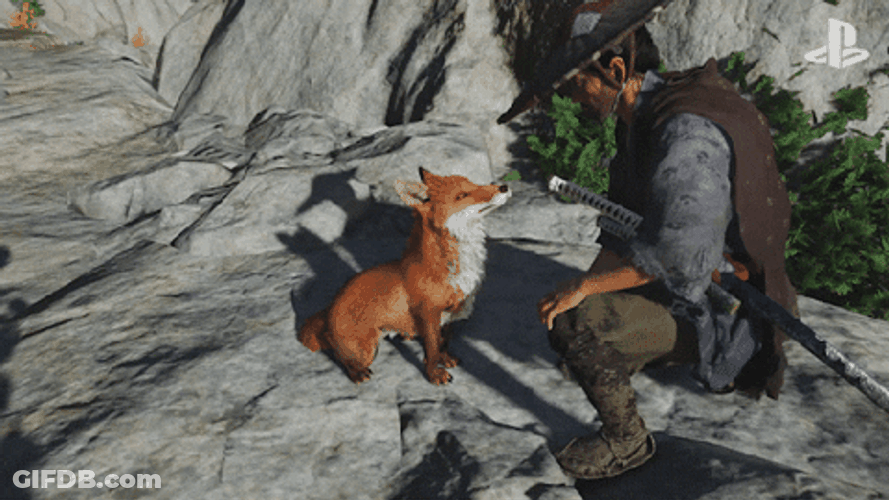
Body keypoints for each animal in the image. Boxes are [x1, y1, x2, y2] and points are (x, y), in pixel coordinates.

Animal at [298, 167, 511, 385]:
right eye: (462, 195)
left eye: (474, 184)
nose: (504, 187)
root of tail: (330, 308)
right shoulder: (429, 314)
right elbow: (432, 348)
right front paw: (435, 374)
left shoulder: (450, 315)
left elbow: (443, 343)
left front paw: (446, 359)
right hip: (367, 350)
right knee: (338, 353)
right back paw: (357, 372)